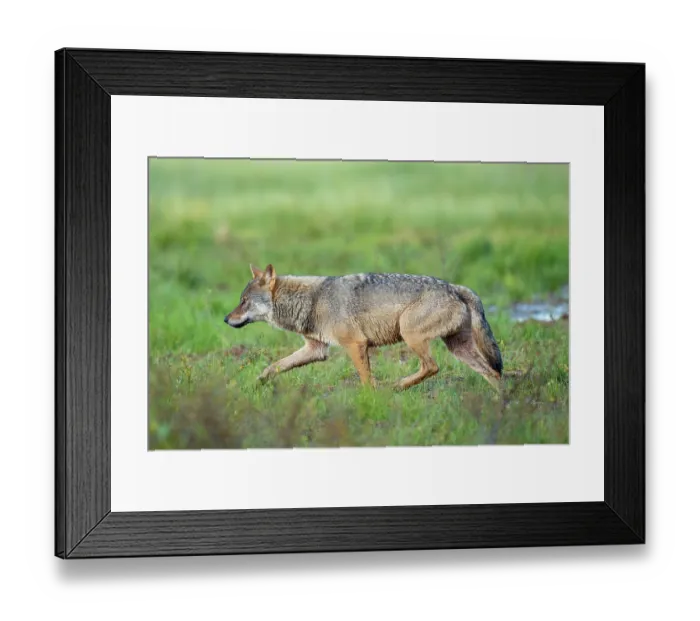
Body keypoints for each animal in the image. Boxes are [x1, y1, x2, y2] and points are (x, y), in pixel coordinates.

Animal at [224, 264, 503, 391]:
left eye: (244, 301)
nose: (226, 319)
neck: (313, 300)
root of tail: (455, 287)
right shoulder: (316, 350)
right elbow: (276, 366)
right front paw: (257, 382)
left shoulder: (355, 344)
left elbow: (366, 380)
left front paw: (372, 399)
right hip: (458, 348)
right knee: (494, 373)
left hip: (410, 335)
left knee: (432, 367)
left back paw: (398, 386)